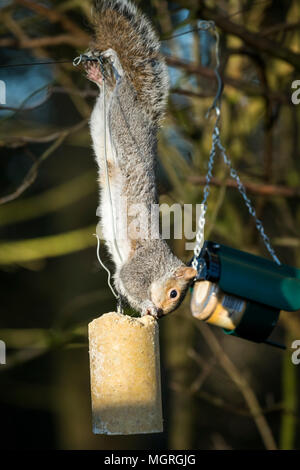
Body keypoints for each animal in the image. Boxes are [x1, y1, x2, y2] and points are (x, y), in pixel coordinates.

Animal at [84, 0, 197, 318]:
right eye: (174, 293)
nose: (162, 312)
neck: (162, 266)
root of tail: (145, 115)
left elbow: (124, 287)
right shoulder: (141, 266)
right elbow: (129, 281)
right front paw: (148, 305)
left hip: (103, 117)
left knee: (107, 94)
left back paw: (102, 77)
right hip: (121, 120)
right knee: (120, 84)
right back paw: (113, 68)